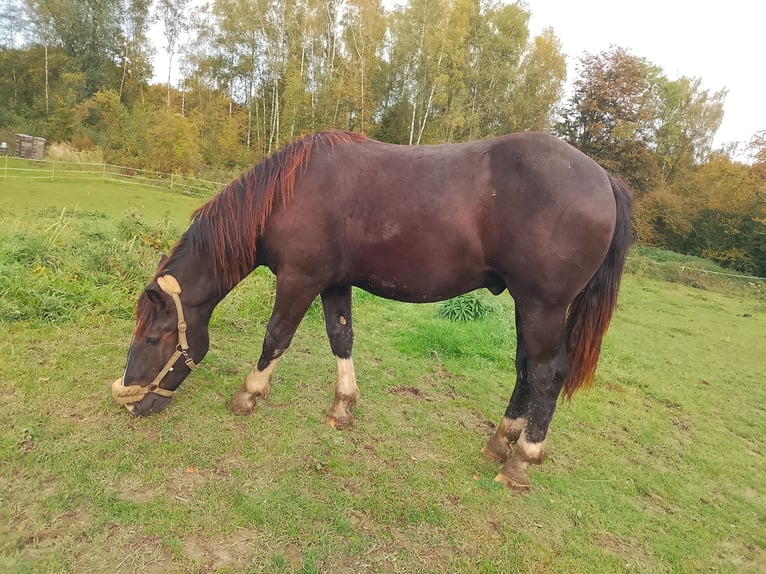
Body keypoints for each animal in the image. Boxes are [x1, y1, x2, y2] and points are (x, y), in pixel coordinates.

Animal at [112, 130, 632, 490]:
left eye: (154, 338)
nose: (132, 403)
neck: (288, 194)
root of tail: (603, 178)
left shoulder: (299, 280)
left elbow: (276, 335)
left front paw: (249, 394)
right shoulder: (334, 283)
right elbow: (340, 337)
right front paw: (342, 407)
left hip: (543, 306)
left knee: (546, 373)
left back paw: (522, 460)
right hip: (528, 308)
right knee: (525, 370)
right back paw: (500, 442)